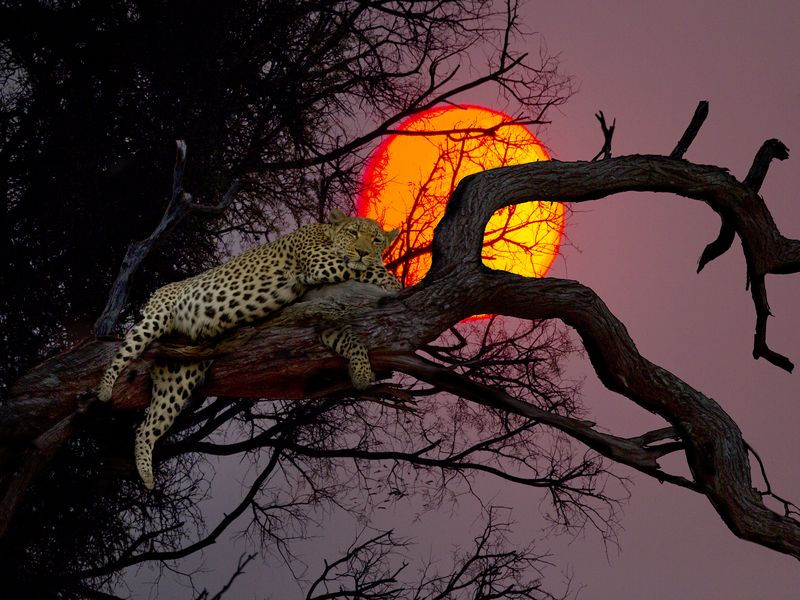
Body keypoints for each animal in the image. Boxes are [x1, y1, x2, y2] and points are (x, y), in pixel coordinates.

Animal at [97, 209, 400, 490]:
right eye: (352, 233)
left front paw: (361, 373)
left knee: (146, 427)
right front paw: (392, 279)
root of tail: (158, 292)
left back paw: (147, 476)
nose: (363, 251)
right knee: (124, 351)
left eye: (376, 239)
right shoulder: (319, 263)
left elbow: (346, 335)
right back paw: (104, 391)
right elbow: (368, 268)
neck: (325, 233)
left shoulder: (318, 314)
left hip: (179, 373)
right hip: (156, 320)